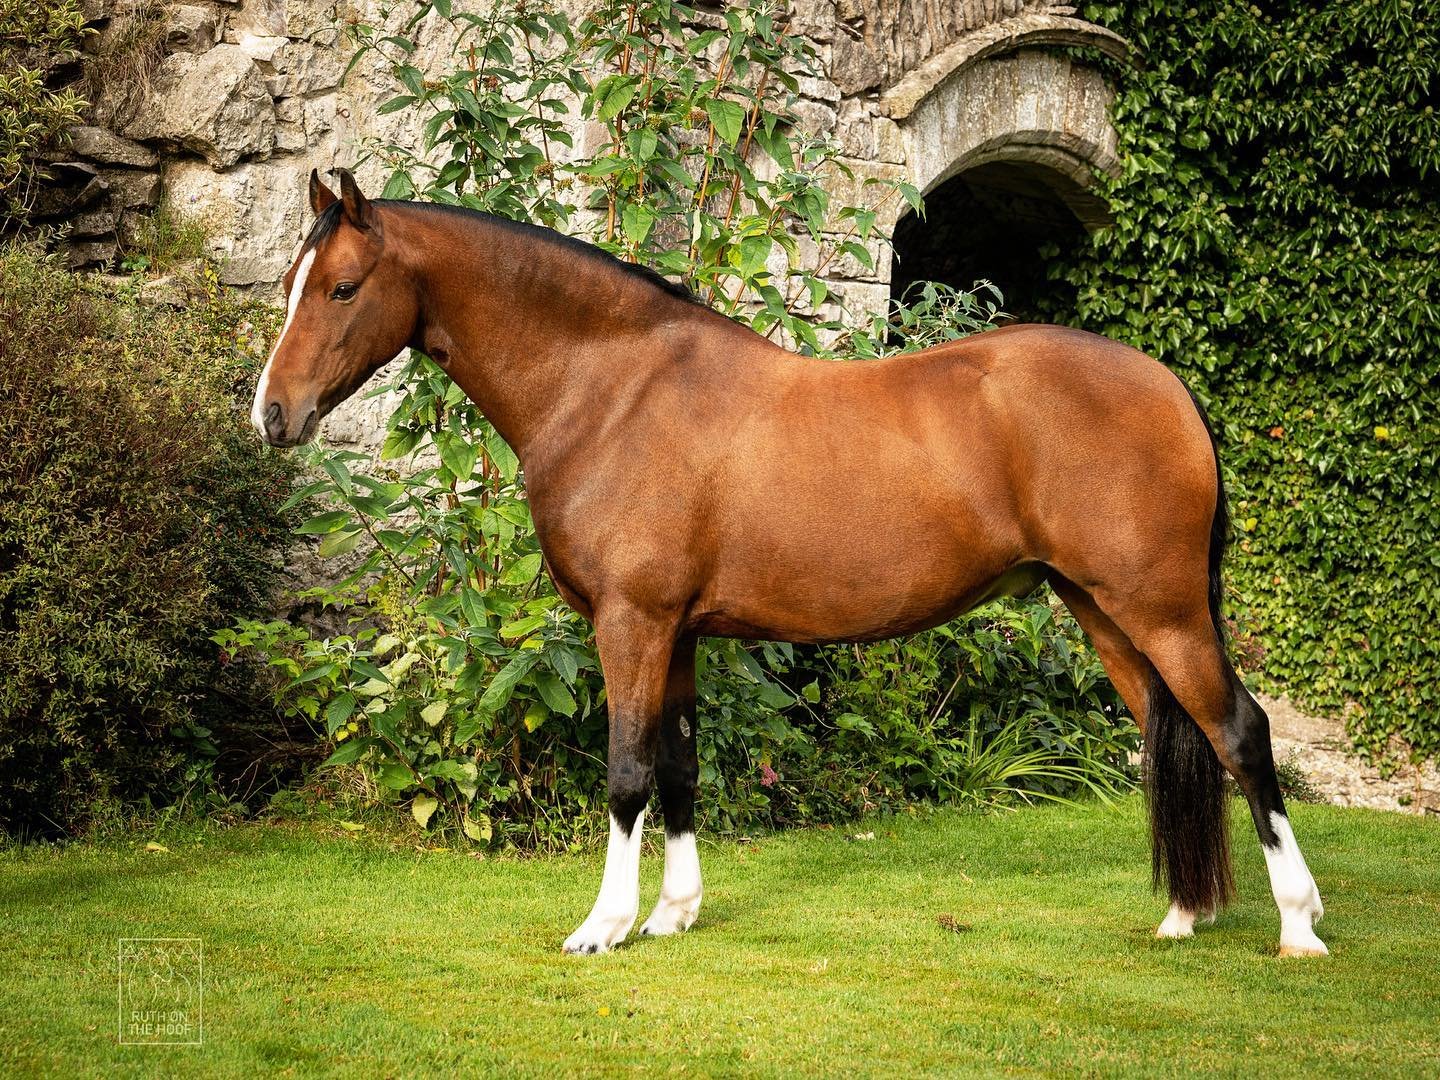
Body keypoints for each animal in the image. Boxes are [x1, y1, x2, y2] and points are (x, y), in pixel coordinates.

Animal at [251, 168, 1328, 958]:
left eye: (342, 287)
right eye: (294, 284)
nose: (271, 414)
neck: (613, 388)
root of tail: (1169, 387)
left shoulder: (631, 623)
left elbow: (628, 774)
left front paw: (605, 926)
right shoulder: (677, 632)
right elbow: (680, 768)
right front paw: (674, 914)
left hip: (1161, 608)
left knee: (1240, 731)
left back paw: (1298, 925)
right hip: (1104, 610)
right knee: (1173, 735)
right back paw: (1184, 916)